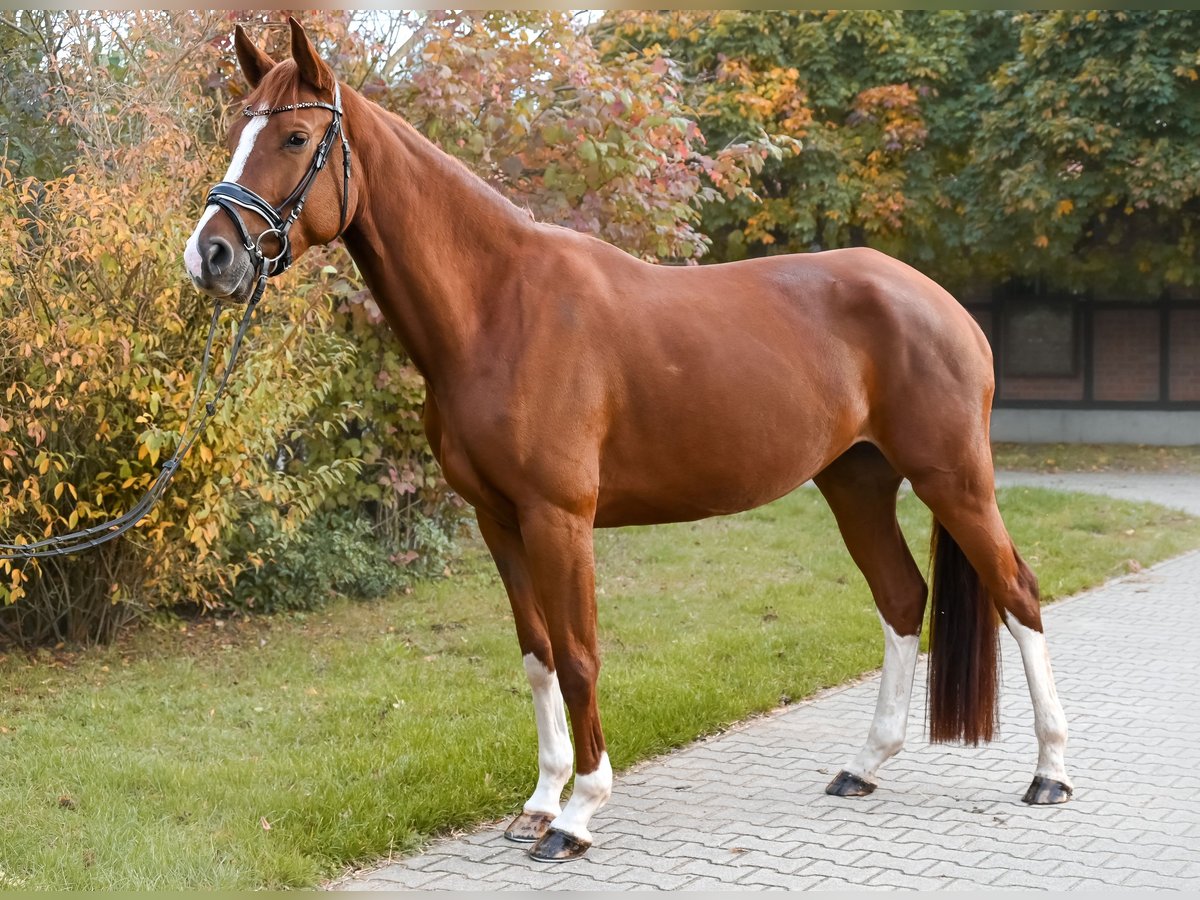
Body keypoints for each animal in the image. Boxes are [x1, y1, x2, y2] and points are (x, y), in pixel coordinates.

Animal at [182, 22, 1075, 868]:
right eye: (238, 127)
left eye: (295, 138)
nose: (211, 255)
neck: (499, 307)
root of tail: (942, 303)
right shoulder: (500, 522)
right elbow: (538, 653)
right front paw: (540, 801)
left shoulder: (559, 518)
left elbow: (580, 657)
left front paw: (578, 816)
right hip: (856, 484)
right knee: (900, 597)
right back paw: (863, 766)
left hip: (953, 478)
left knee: (1018, 593)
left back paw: (1050, 773)